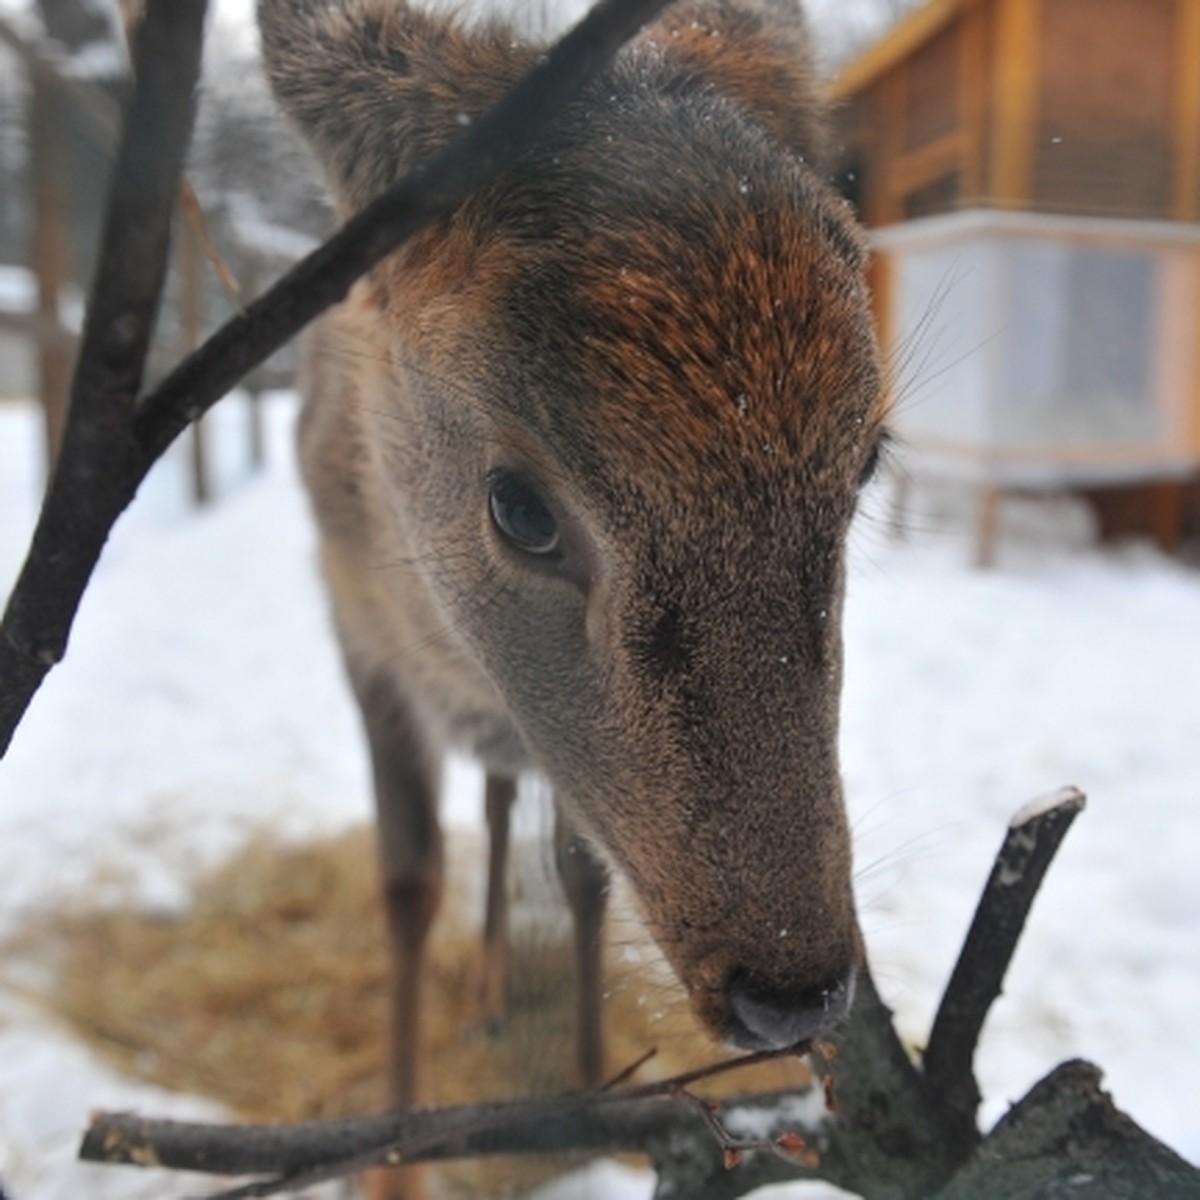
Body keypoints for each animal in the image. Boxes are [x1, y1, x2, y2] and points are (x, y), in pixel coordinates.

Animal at [258, 2, 888, 1190]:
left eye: (869, 459)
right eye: (520, 507)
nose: (790, 989)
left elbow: (584, 876)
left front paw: (591, 1098)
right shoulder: (351, 623)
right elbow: (406, 884)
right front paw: (391, 1162)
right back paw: (486, 993)